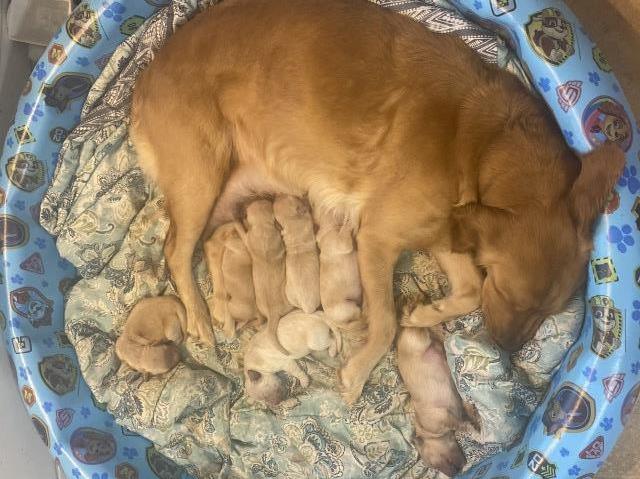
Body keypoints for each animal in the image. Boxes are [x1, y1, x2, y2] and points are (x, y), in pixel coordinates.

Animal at [398, 328, 478, 478]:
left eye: (432, 464)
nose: (453, 475)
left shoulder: (444, 417)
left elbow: (462, 425)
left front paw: (473, 428)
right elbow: (465, 413)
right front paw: (473, 415)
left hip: (420, 341)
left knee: (425, 331)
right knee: (437, 340)